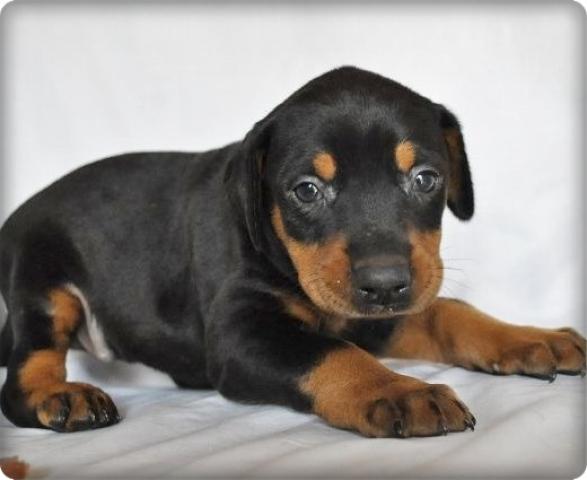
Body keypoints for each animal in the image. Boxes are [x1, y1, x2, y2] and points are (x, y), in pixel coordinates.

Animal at [0, 67, 584, 438]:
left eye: (425, 178)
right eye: (306, 190)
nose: (384, 284)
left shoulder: (374, 313)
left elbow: (449, 312)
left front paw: (531, 338)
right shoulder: (241, 337)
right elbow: (330, 353)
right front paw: (397, 392)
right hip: (42, 284)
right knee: (23, 373)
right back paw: (61, 397)